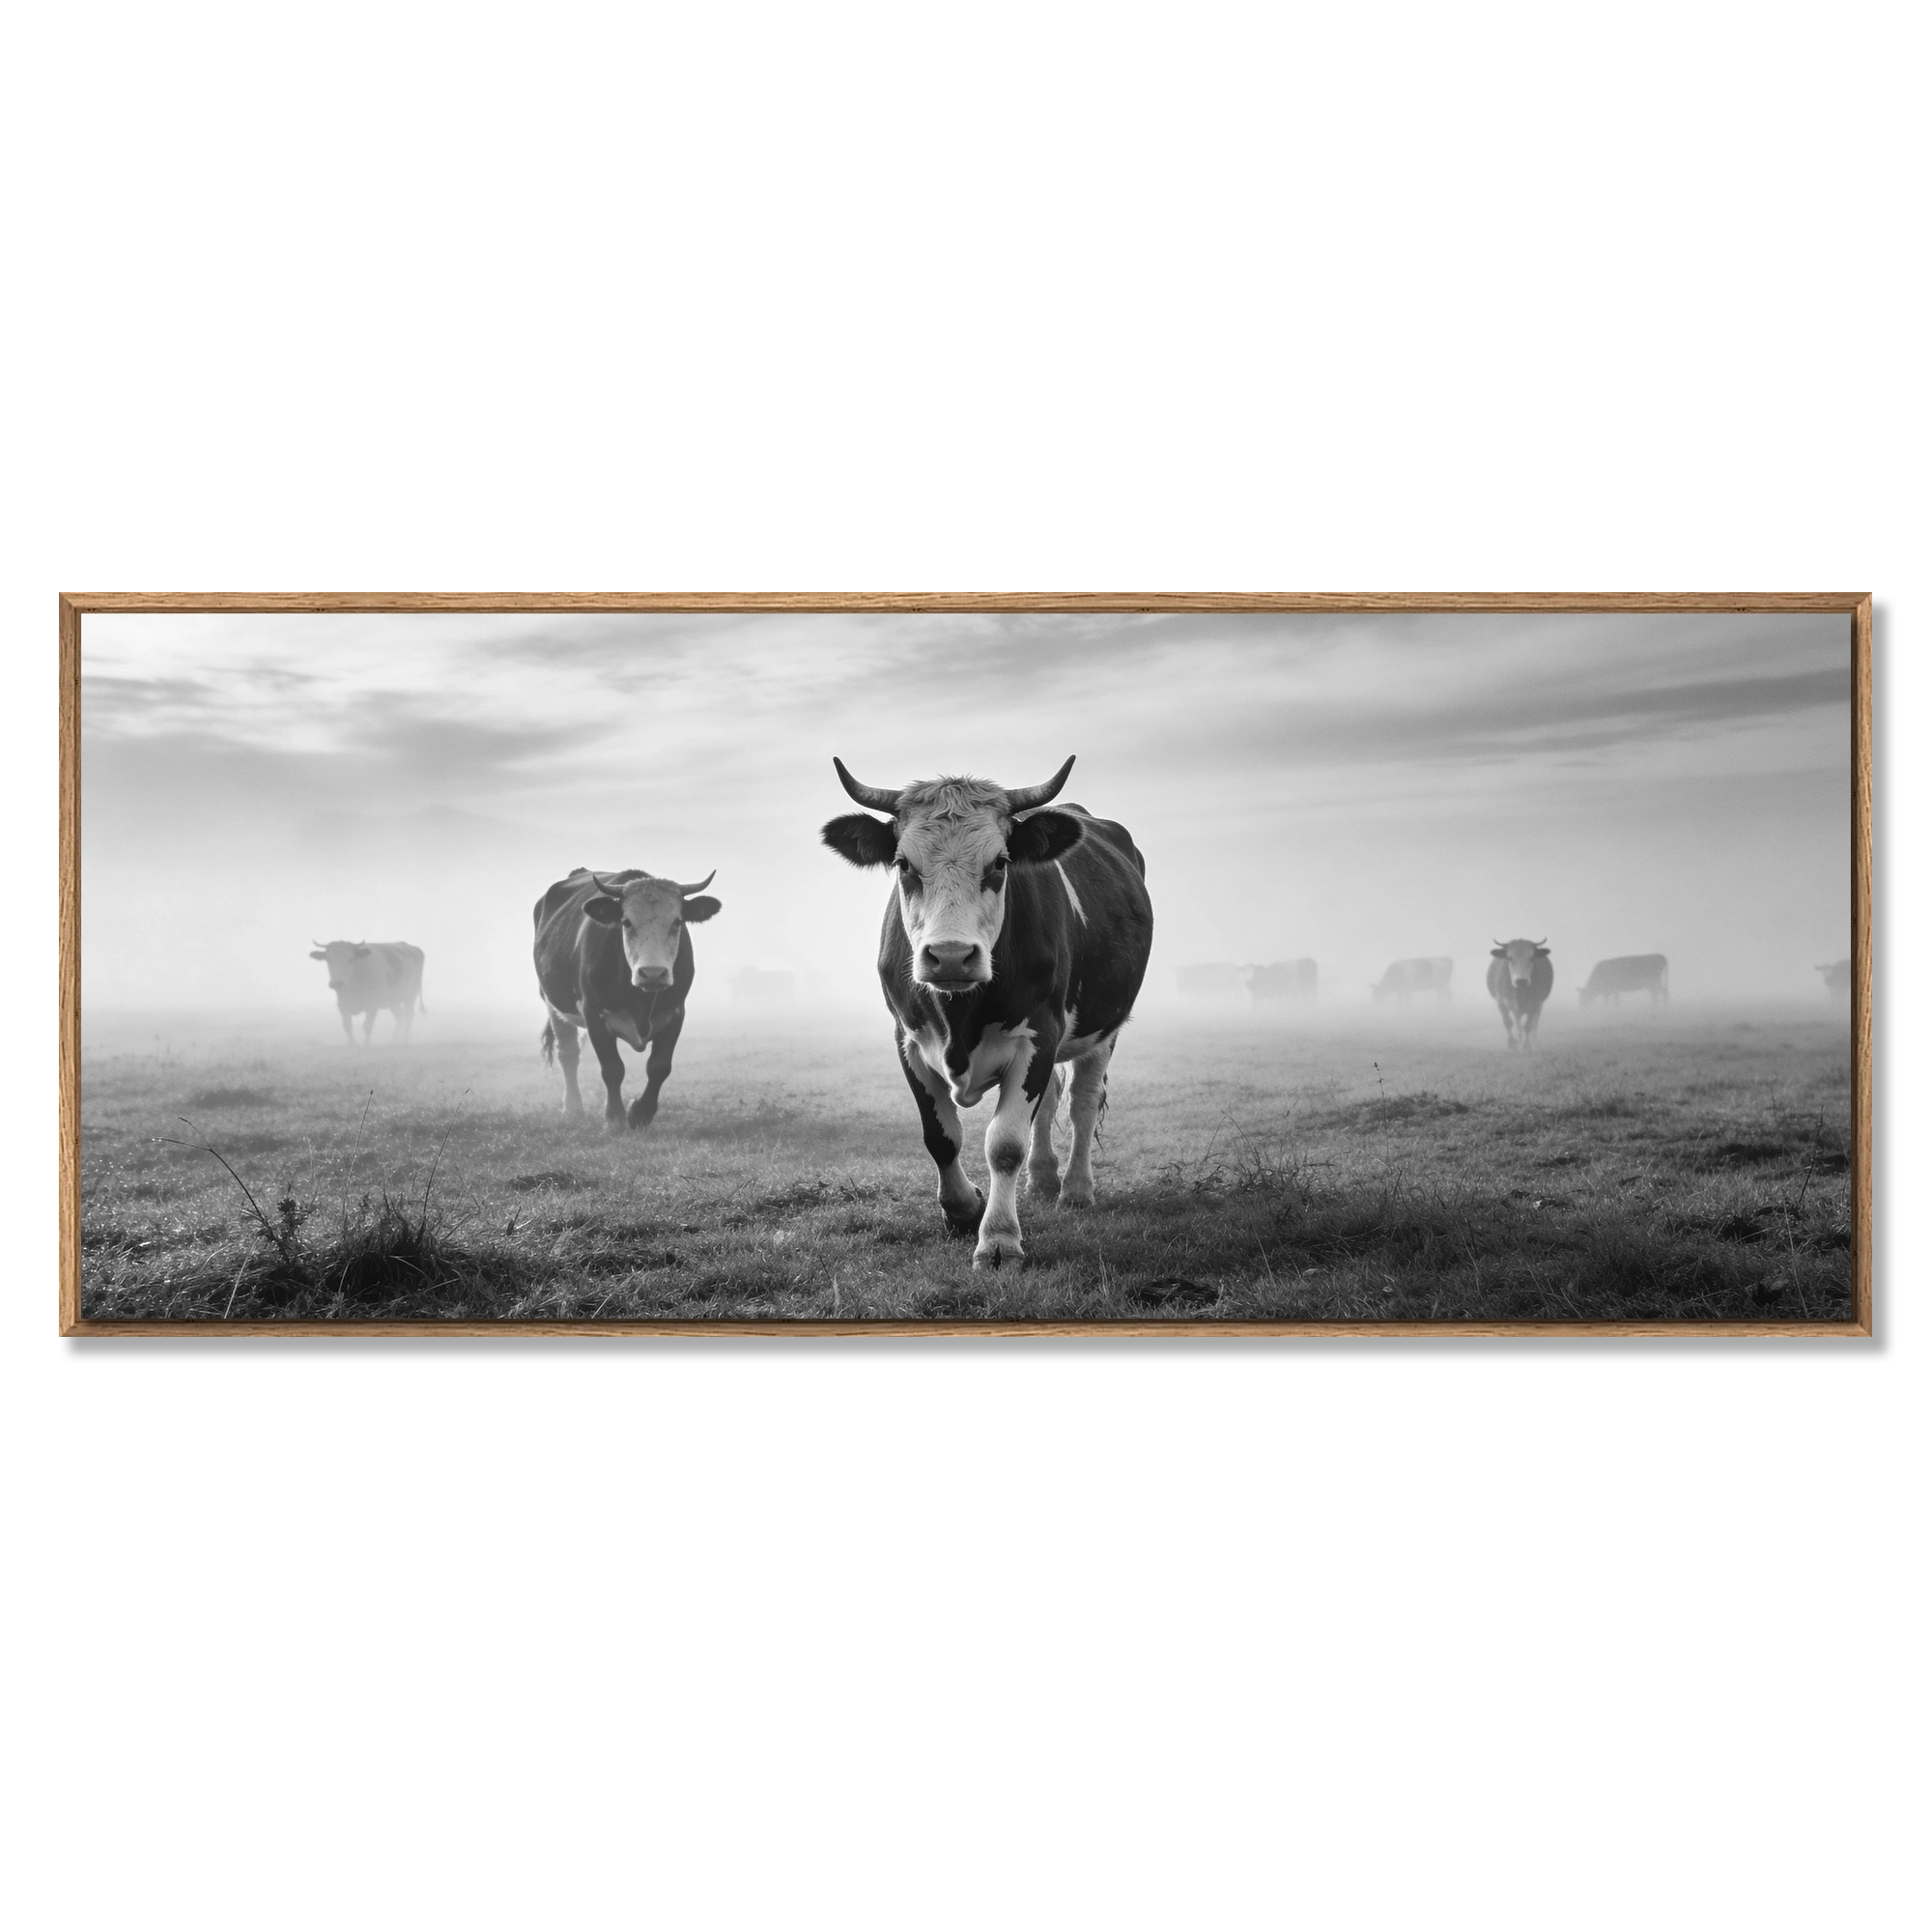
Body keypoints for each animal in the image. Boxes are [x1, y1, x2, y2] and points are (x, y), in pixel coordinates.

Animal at [532, 866, 722, 1132]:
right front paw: (614, 1117)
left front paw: (640, 1113)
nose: (652, 973)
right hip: (553, 1004)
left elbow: (659, 1067)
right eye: (626, 922)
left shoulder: (675, 1013)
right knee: (568, 1054)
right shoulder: (594, 1015)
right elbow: (612, 1068)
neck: (641, 1000)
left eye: (677, 921)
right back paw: (572, 1108)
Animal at [821, 755, 1153, 1270]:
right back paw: (1043, 1179)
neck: (959, 1016)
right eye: (903, 863)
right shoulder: (908, 1040)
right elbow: (941, 1137)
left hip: (1105, 1026)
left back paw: (1075, 1190)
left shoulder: (1039, 1034)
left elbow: (1005, 1144)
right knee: (1051, 1100)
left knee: (1081, 1101)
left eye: (1000, 862)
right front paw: (962, 1210)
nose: (951, 956)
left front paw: (998, 1239)